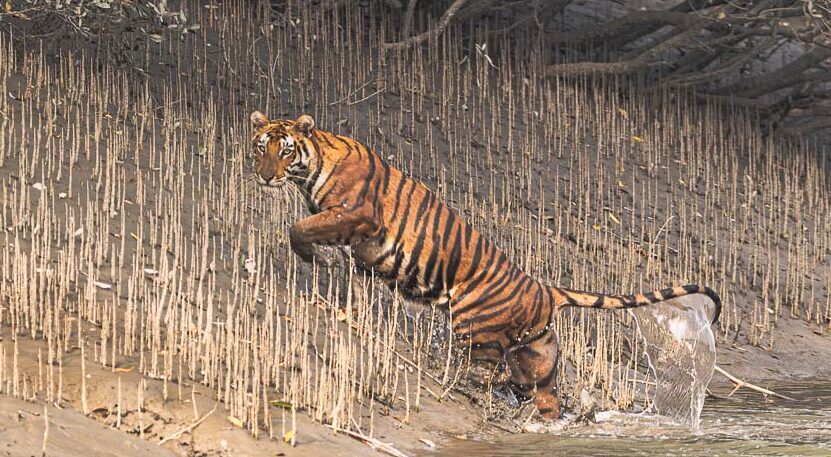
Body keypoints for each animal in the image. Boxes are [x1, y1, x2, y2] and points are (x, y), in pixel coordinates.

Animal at [249, 111, 722, 419]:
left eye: (284, 151)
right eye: (260, 147)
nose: (265, 175)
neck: (310, 166)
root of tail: (543, 289)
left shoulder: (356, 214)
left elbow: (300, 227)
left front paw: (313, 256)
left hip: (475, 332)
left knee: (485, 375)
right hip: (537, 356)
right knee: (543, 396)